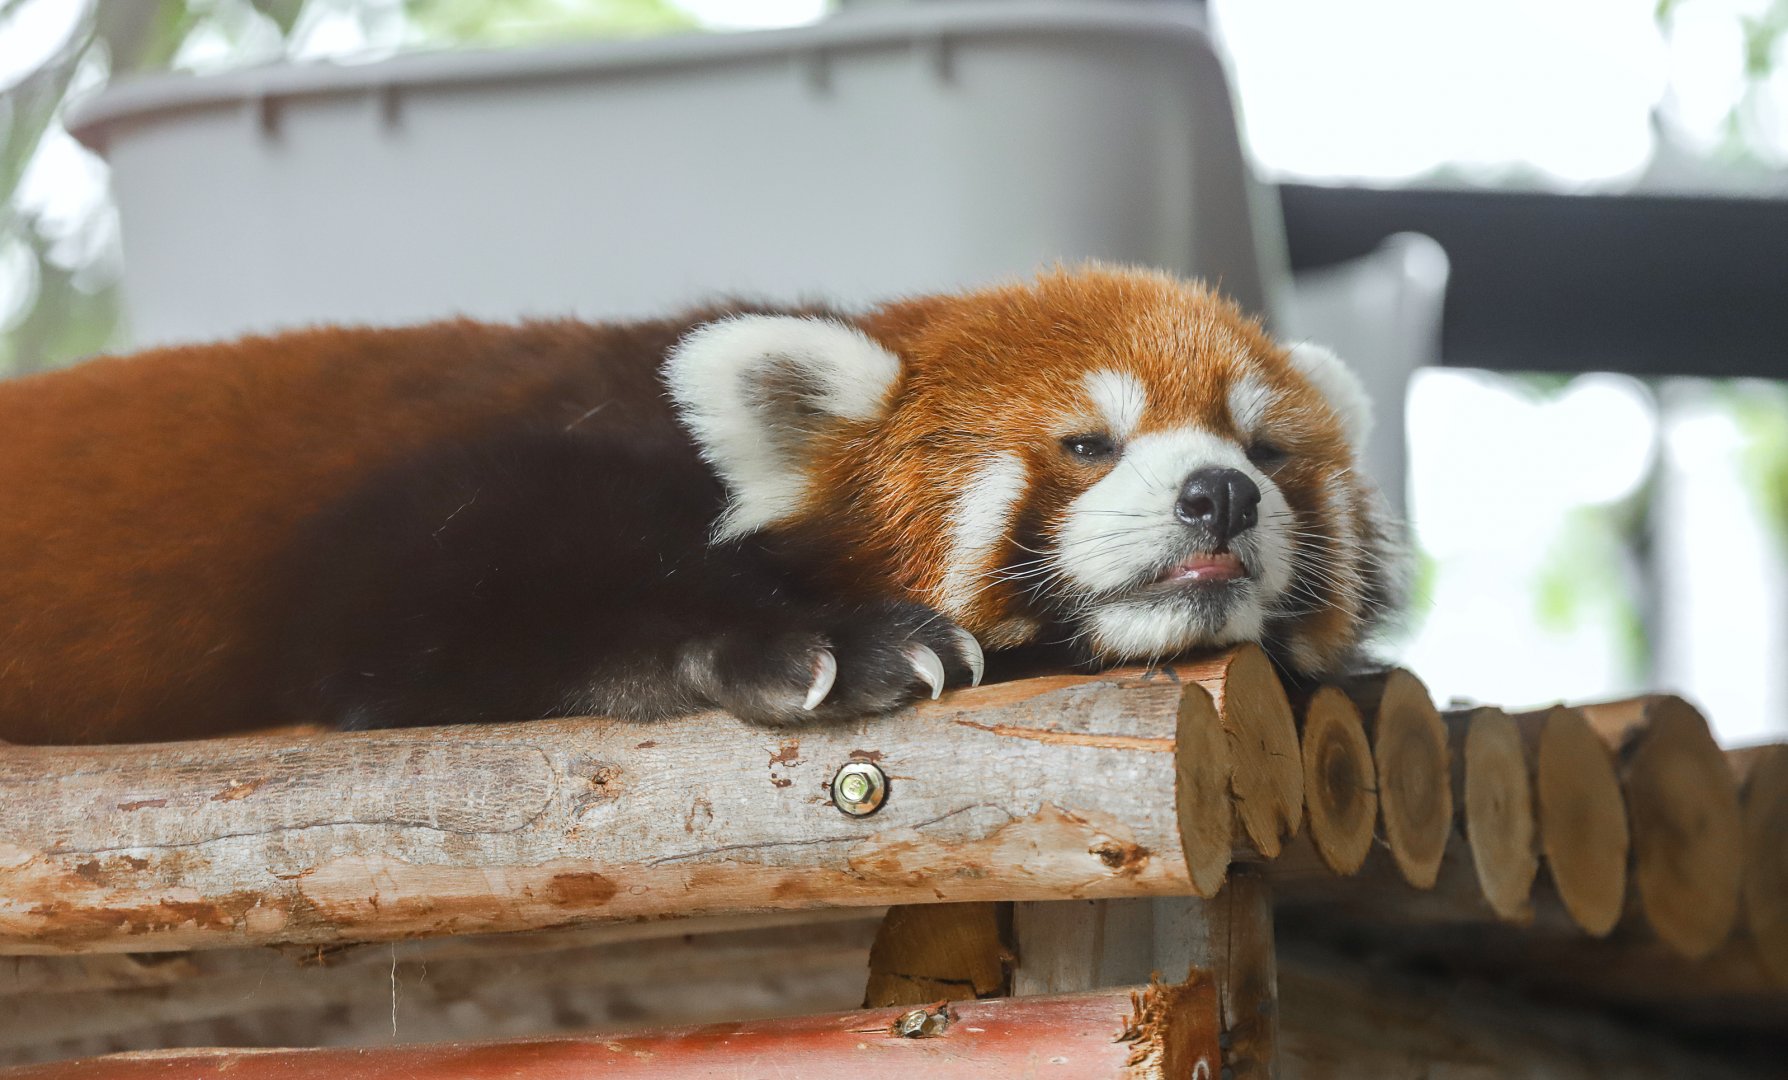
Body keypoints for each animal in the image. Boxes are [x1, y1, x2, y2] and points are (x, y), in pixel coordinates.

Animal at [0, 265, 1403, 744]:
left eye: (1268, 449)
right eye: (1086, 443)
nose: (1220, 496)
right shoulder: (454, 494)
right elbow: (407, 606)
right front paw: (829, 643)